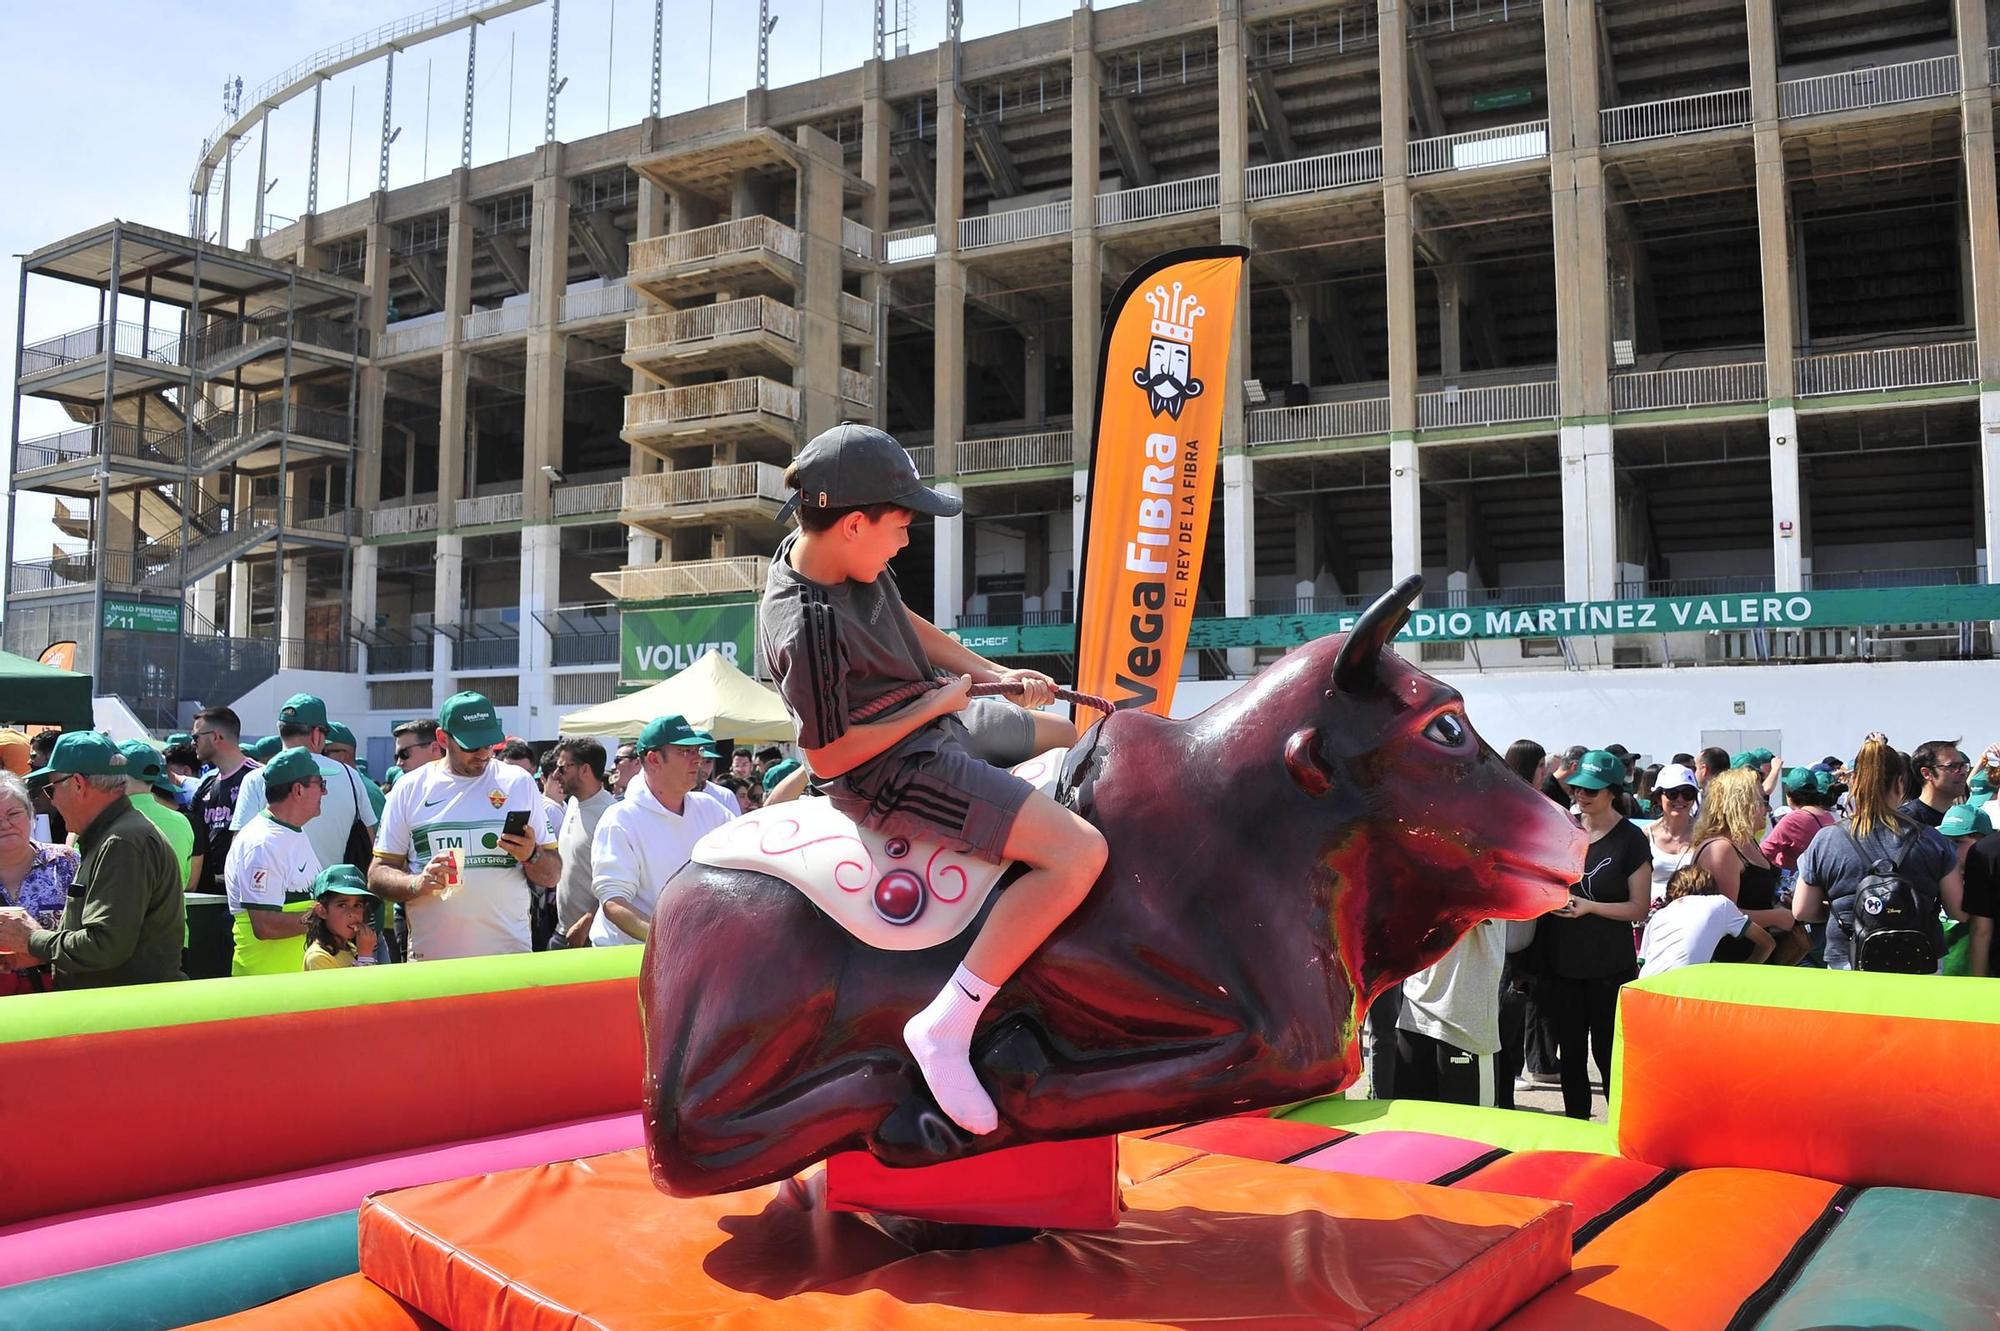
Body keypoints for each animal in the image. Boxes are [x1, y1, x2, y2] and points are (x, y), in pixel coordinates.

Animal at [636, 571, 1576, 1191]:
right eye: (1444, 725)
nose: (1568, 833)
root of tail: (680, 890)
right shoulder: (1103, 975)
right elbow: (1281, 1054)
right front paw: (1004, 1072)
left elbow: (1292, 1055)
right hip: (731, 1032)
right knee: (688, 1143)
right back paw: (921, 1097)